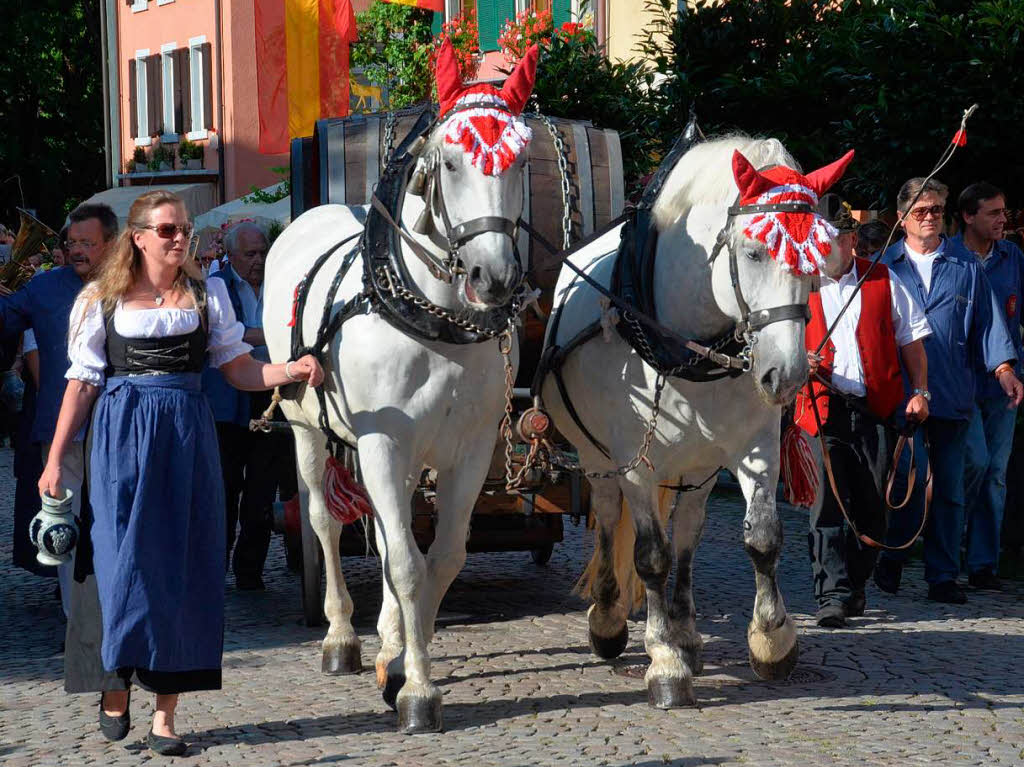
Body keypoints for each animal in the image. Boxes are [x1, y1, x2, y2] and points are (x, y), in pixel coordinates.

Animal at [264, 40, 540, 729]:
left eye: (523, 159)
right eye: (450, 160)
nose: (493, 277)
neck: (434, 321)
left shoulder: (469, 450)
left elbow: (439, 559)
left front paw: (401, 662)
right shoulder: (384, 444)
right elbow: (405, 565)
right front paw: (417, 689)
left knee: (395, 538)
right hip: (312, 431)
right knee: (326, 521)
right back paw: (341, 637)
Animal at [544, 133, 856, 704]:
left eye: (819, 257)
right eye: (753, 251)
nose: (787, 375)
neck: (683, 346)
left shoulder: (754, 447)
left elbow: (763, 536)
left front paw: (772, 641)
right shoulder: (635, 464)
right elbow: (650, 556)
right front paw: (663, 660)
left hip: (698, 468)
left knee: (689, 532)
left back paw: (687, 631)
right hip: (596, 454)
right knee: (608, 517)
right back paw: (610, 619)